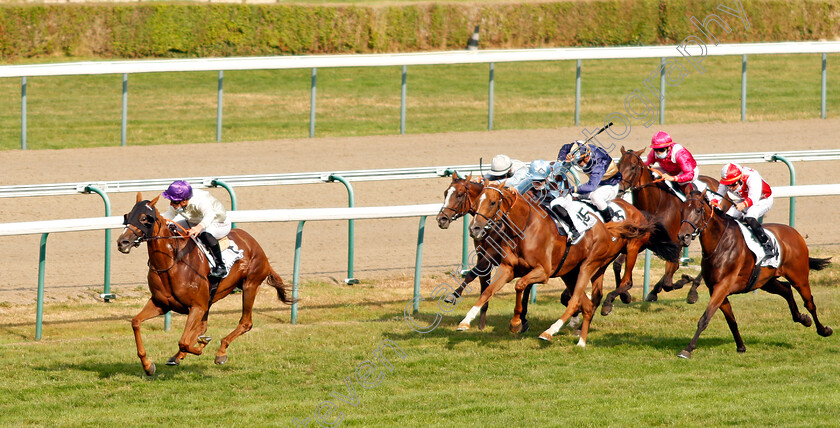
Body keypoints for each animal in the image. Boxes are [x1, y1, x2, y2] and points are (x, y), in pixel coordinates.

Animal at [117, 193, 296, 374]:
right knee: (202, 327)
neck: (172, 263)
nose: (122, 242)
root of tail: (255, 245)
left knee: (246, 323)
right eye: (127, 216)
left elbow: (184, 341)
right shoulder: (161, 304)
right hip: (211, 298)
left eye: (144, 218)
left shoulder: (197, 306)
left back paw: (220, 352)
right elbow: (136, 322)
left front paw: (201, 345)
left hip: (250, 284)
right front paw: (148, 365)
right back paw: (180, 355)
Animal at [460, 182, 676, 346]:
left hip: (589, 265)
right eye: (477, 202)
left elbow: (520, 285)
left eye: (493, 202)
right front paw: (465, 320)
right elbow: (489, 291)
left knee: (576, 301)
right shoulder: (509, 269)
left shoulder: (543, 272)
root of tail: (606, 228)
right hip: (570, 273)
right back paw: (581, 341)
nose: (475, 228)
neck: (525, 228)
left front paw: (515, 323)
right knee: (586, 304)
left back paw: (550, 332)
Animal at [612, 146, 724, 304]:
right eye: (618, 165)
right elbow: (617, 264)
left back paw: (692, 291)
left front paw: (684, 281)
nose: (619, 189)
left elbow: (669, 279)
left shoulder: (673, 242)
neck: (657, 205)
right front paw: (625, 295)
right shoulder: (643, 240)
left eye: (633, 167)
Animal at [680, 191, 832, 358]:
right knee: (786, 290)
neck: (719, 244)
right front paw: (741, 346)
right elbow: (731, 320)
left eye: (698, 210)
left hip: (799, 276)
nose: (683, 236)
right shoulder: (716, 289)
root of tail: (794, 232)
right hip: (766, 281)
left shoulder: (722, 286)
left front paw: (687, 349)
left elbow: (705, 317)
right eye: (682, 210)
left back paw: (824, 330)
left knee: (809, 302)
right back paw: (803, 319)